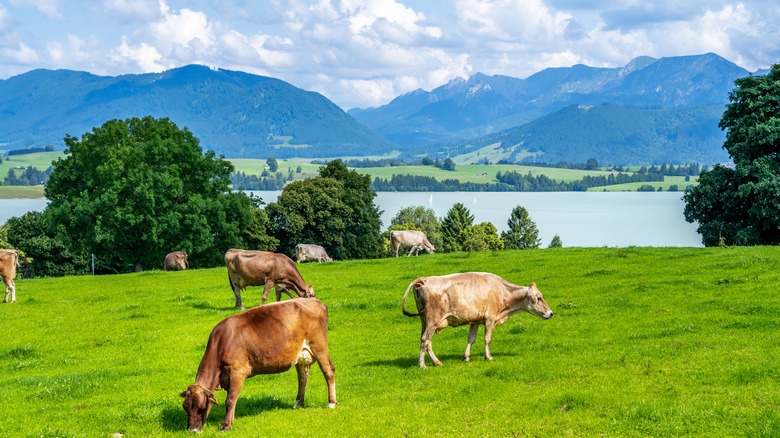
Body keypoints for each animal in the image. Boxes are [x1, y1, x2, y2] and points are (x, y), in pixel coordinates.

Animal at [181, 298, 336, 432]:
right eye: (185, 407)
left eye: (201, 408)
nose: (191, 430)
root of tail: (314, 300)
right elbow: (234, 399)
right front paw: (231, 422)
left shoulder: (238, 371)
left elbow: (230, 400)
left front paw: (225, 426)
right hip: (300, 354)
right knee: (303, 377)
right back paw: (298, 403)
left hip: (319, 346)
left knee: (328, 371)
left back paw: (331, 402)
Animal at [402, 272, 556, 368]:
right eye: (539, 298)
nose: (551, 313)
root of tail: (423, 280)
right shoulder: (490, 318)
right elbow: (487, 339)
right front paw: (488, 357)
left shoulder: (475, 320)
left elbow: (471, 339)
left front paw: (466, 357)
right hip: (432, 320)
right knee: (425, 340)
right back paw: (422, 364)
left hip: (425, 321)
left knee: (427, 342)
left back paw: (436, 362)